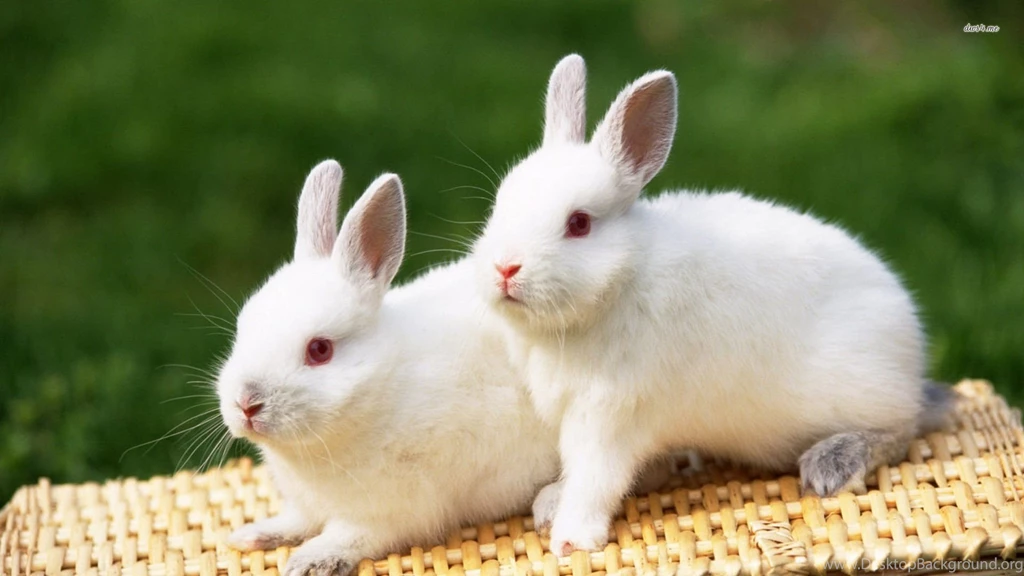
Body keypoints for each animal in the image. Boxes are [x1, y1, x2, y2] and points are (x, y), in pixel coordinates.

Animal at [216, 160, 562, 576]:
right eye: (243, 327)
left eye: (319, 350)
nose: (246, 403)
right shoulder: (305, 505)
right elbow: (296, 520)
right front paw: (254, 535)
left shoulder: (390, 512)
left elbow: (352, 535)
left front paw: (311, 561)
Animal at [470, 54, 953, 557]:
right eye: (499, 206)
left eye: (579, 223)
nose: (505, 269)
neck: (620, 283)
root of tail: (911, 349)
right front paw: (550, 502)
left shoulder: (609, 417)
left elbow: (595, 479)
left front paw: (570, 538)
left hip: (865, 392)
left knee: (902, 430)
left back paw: (831, 464)